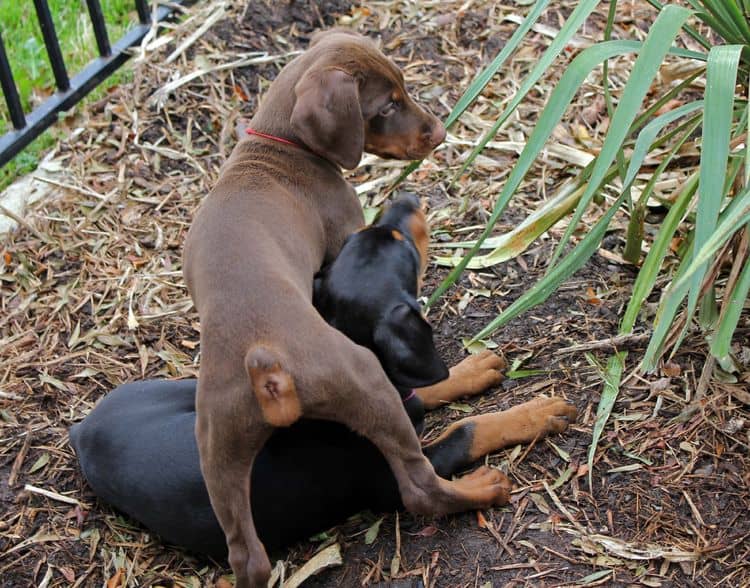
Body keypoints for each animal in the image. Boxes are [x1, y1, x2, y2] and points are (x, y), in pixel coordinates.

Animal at [185, 32, 508, 588]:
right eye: (387, 106)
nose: (440, 132)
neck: (273, 147)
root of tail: (267, 366)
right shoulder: (347, 240)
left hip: (218, 453)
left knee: (247, 557)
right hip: (366, 383)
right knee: (419, 486)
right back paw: (484, 489)